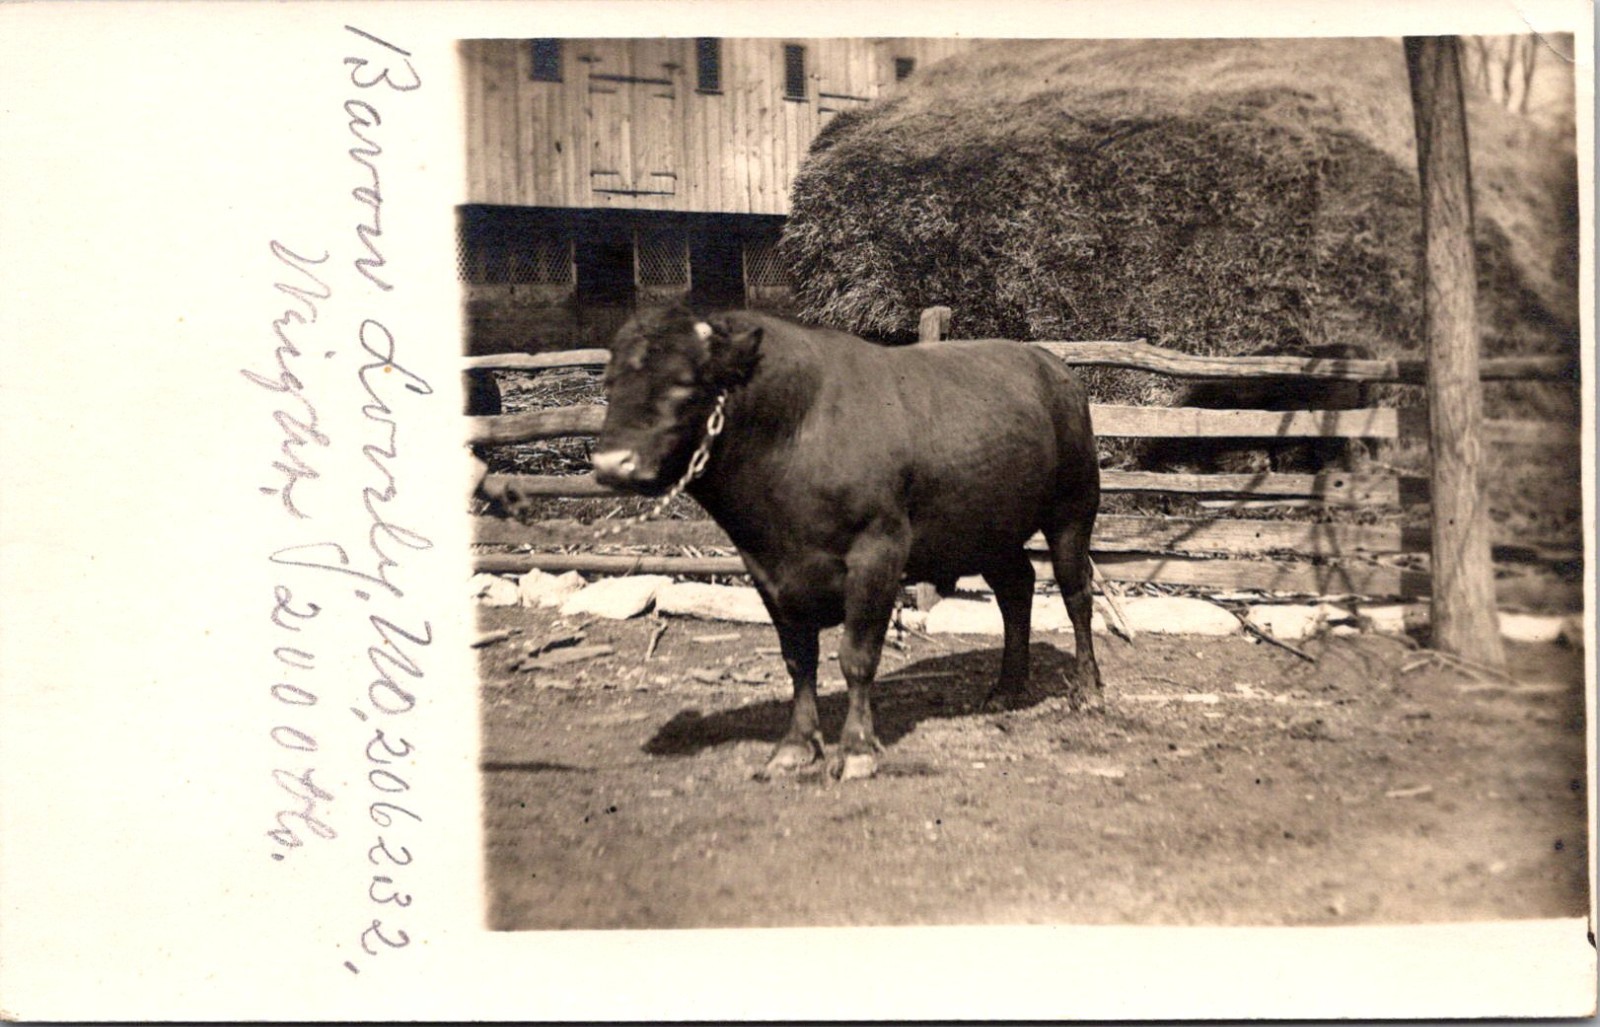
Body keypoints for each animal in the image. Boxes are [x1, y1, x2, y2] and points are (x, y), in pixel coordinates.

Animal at [592, 306, 1102, 781]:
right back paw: (1006, 689)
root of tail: (1053, 366)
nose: (611, 463)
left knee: (1076, 595)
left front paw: (856, 749)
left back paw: (1088, 688)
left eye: (684, 383)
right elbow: (799, 660)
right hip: (990, 531)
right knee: (1016, 590)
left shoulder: (878, 552)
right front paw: (795, 746)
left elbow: (856, 656)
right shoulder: (765, 568)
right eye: (610, 382)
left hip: (1073, 510)